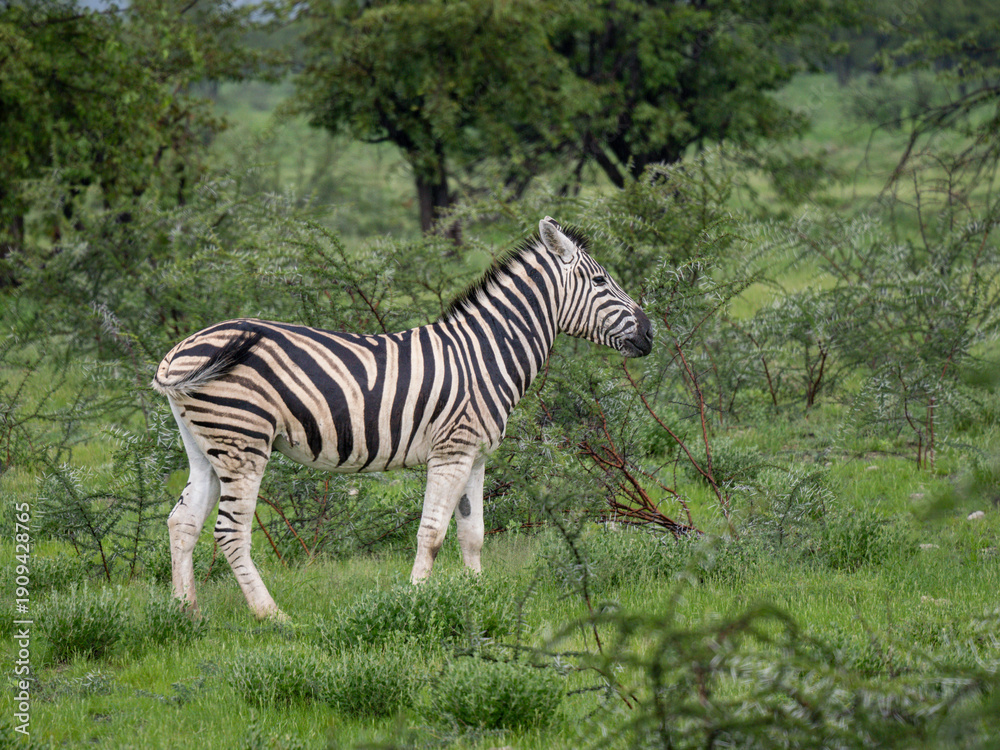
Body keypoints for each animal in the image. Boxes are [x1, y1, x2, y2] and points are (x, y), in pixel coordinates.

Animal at [152, 217, 652, 619]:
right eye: (601, 281)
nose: (650, 333)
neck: (485, 353)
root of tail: (178, 351)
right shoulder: (452, 451)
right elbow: (432, 533)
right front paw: (415, 600)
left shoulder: (476, 455)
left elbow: (473, 533)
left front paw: (476, 596)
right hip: (243, 441)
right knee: (230, 531)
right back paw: (271, 615)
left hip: (206, 446)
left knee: (183, 521)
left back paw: (185, 613)